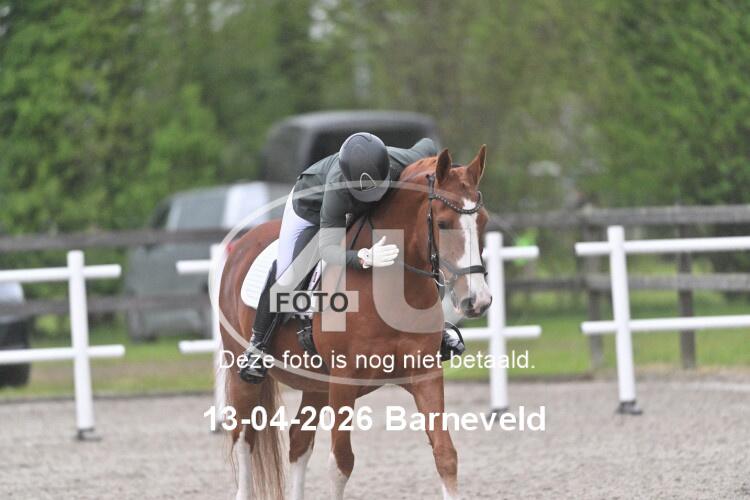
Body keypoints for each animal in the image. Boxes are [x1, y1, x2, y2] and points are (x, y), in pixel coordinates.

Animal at [218, 145, 491, 500]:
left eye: (483, 221)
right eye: (443, 224)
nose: (478, 300)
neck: (392, 287)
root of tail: (241, 246)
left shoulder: (425, 375)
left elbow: (445, 453)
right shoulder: (344, 381)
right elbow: (341, 463)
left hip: (317, 385)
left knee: (298, 442)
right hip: (244, 374)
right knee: (244, 440)